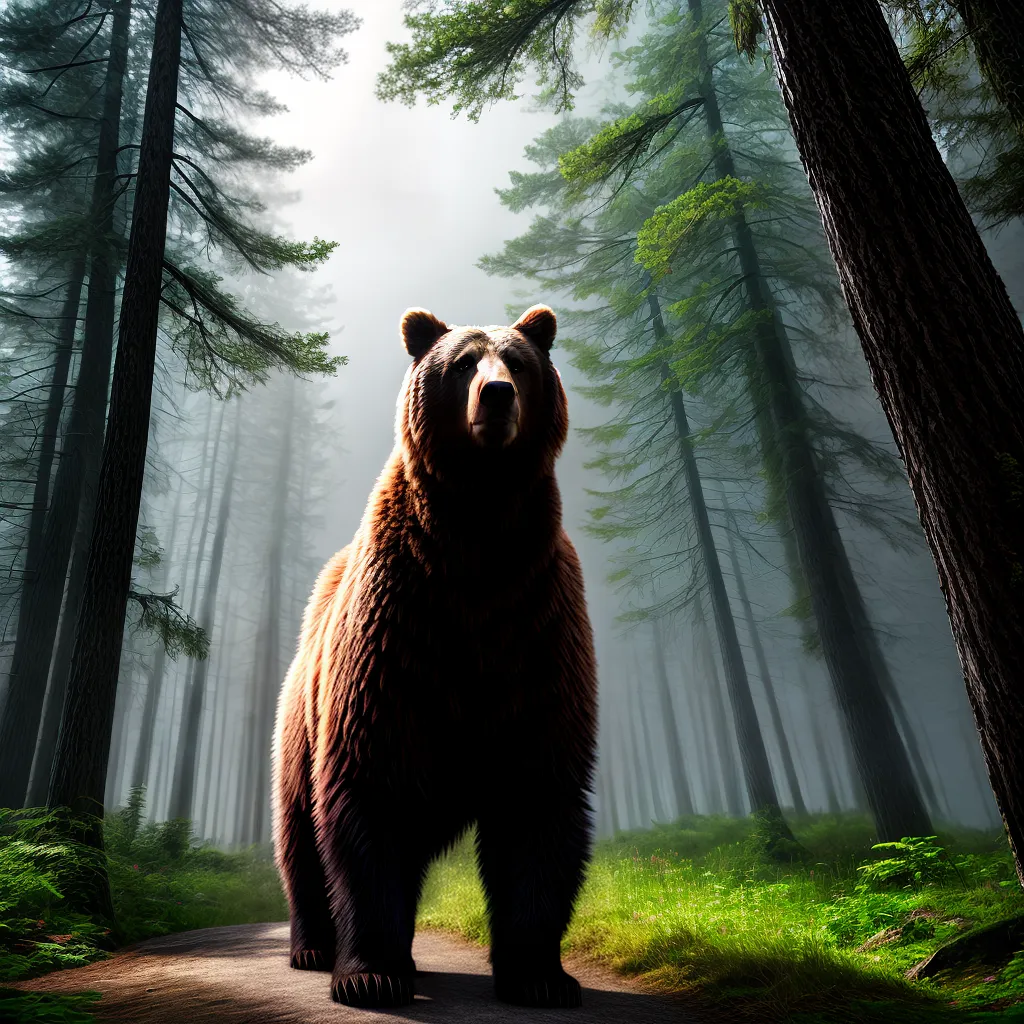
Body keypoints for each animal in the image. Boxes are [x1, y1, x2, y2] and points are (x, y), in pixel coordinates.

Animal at [271, 304, 598, 1009]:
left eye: (519, 362)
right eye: (464, 362)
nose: (496, 394)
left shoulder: (535, 634)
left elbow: (538, 799)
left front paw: (541, 975)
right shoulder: (397, 641)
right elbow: (368, 794)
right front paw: (371, 972)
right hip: (301, 719)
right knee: (300, 833)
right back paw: (311, 946)